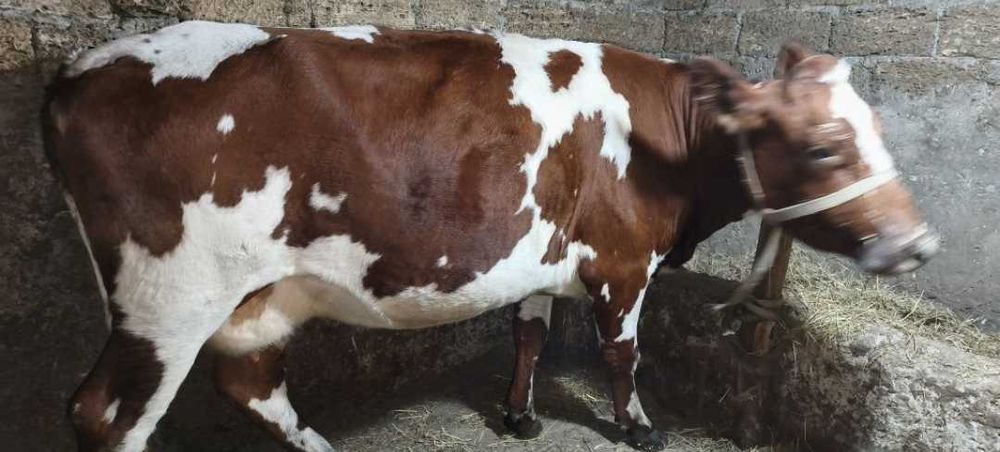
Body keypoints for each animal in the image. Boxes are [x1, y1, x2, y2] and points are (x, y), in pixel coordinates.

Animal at [42, 21, 938, 452]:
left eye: (879, 128)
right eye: (823, 148)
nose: (919, 245)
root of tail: (80, 70)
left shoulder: (540, 258)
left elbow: (530, 334)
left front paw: (518, 415)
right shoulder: (624, 260)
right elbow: (622, 353)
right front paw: (640, 428)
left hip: (255, 294)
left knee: (251, 382)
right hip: (169, 297)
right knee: (108, 415)